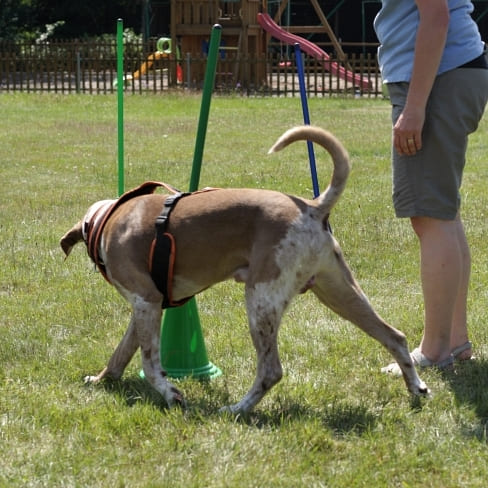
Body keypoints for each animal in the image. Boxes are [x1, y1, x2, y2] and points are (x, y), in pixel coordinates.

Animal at [60, 125, 428, 412]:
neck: (108, 222)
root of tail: (312, 207)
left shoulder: (146, 301)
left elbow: (150, 365)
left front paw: (171, 394)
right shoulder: (145, 309)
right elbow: (120, 354)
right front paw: (101, 380)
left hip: (261, 301)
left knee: (271, 370)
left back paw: (237, 409)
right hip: (338, 292)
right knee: (394, 335)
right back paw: (417, 388)